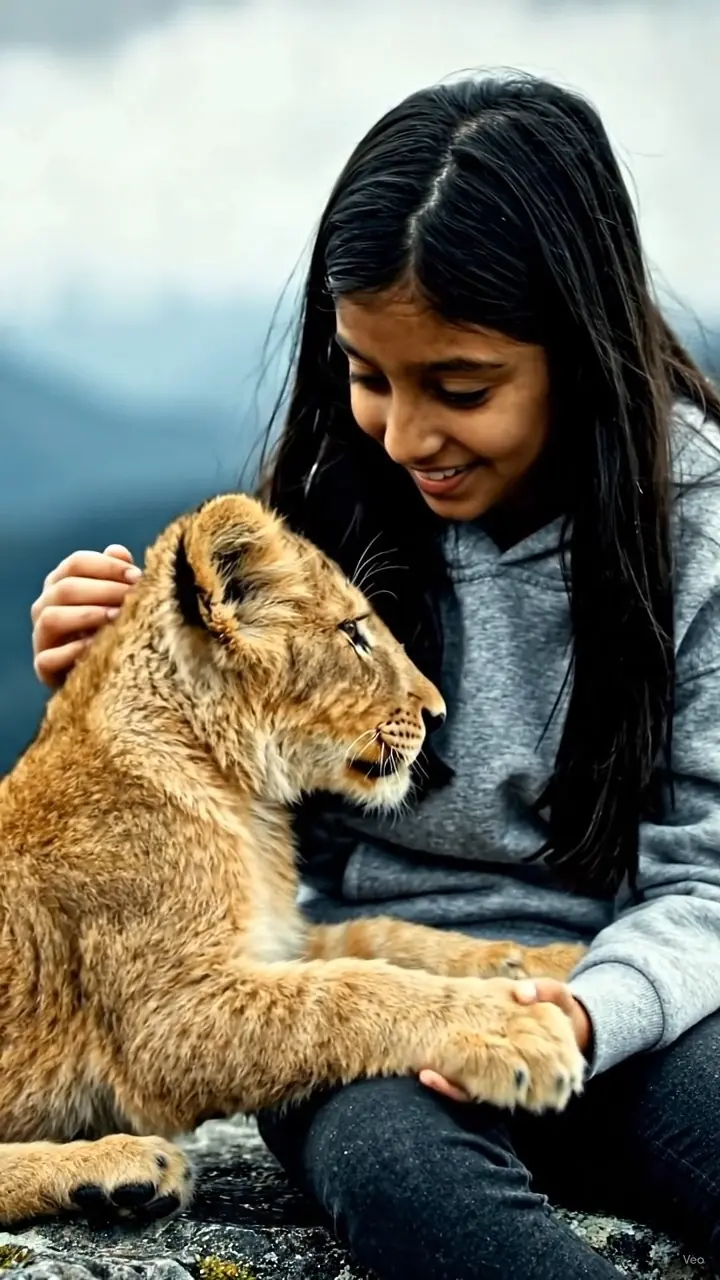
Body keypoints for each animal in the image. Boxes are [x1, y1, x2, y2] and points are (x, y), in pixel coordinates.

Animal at [0, 494, 586, 1225]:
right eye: (354, 633)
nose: (438, 712)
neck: (242, 800)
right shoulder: (166, 1019)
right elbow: (351, 992)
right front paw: (518, 1029)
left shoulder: (277, 940)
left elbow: (385, 939)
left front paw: (547, 960)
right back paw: (119, 1169)